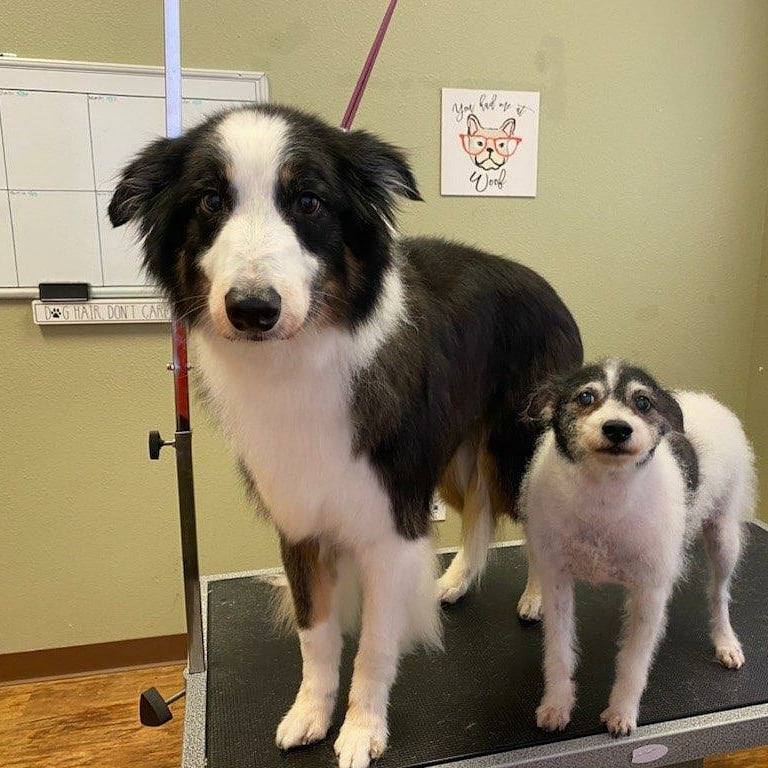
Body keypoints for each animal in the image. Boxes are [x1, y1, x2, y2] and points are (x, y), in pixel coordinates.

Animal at [108, 103, 584, 768]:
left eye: (308, 202)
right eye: (210, 201)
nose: (252, 309)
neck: (300, 358)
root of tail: (545, 285)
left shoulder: (390, 525)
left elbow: (375, 648)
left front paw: (362, 730)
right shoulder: (300, 521)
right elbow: (316, 637)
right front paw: (310, 713)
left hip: (514, 449)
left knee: (532, 520)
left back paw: (539, 597)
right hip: (452, 458)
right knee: (477, 513)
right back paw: (456, 581)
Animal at [520, 360, 752, 736]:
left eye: (643, 402)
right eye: (586, 397)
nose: (617, 429)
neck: (605, 496)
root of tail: (711, 402)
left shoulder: (649, 593)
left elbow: (633, 662)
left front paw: (622, 712)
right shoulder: (557, 583)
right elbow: (558, 651)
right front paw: (556, 704)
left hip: (723, 538)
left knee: (719, 594)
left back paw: (726, 641)